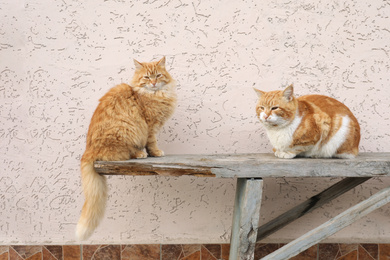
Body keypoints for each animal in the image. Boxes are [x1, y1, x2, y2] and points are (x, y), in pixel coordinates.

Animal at [76, 56, 177, 240]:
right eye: (146, 77)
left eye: (158, 75)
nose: (153, 83)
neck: (156, 94)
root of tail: (88, 150)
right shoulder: (150, 125)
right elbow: (152, 143)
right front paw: (155, 153)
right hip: (125, 131)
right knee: (126, 153)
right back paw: (140, 154)